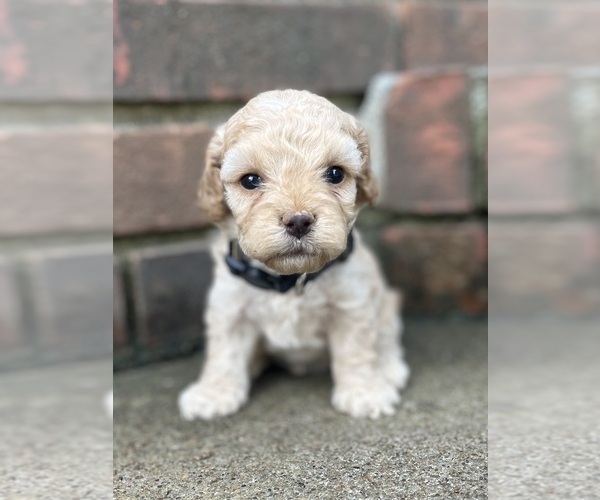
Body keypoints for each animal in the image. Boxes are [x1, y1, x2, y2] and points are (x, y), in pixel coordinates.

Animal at [178, 89, 410, 418]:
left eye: (335, 173)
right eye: (250, 180)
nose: (299, 221)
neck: (287, 279)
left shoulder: (352, 304)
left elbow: (356, 350)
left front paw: (365, 393)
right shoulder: (229, 307)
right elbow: (224, 352)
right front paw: (214, 393)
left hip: (387, 303)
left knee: (387, 336)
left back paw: (389, 369)